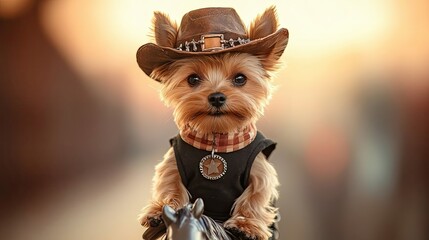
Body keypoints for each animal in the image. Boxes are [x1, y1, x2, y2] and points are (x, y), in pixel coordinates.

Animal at [136, 6, 288, 239]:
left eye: (240, 79)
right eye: (193, 79)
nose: (216, 97)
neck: (217, 139)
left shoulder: (259, 169)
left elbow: (255, 195)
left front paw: (246, 225)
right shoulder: (173, 164)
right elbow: (170, 186)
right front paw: (159, 210)